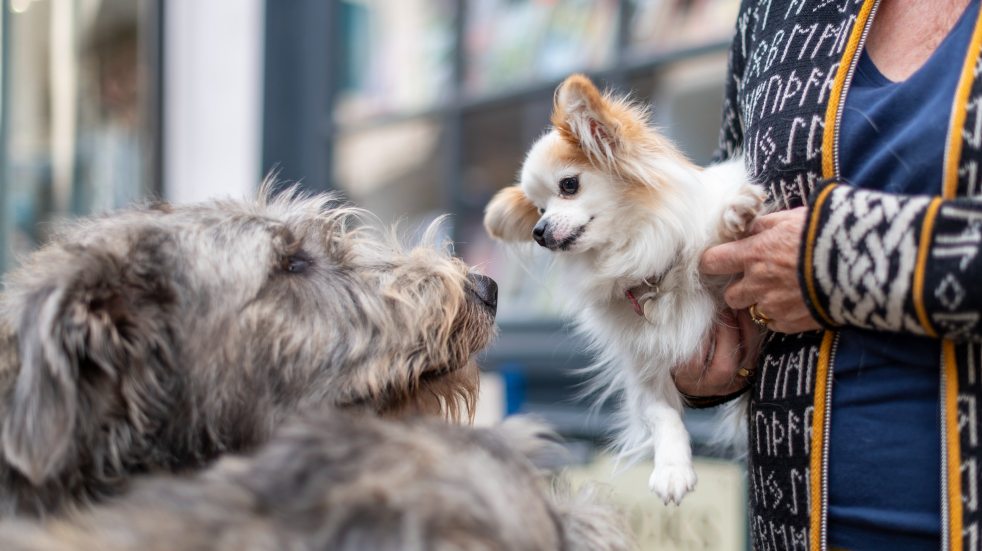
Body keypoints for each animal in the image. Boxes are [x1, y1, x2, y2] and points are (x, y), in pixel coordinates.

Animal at [488, 74, 764, 504]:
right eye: (538, 210)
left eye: (569, 185)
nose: (538, 232)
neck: (646, 267)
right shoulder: (645, 371)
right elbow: (662, 415)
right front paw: (671, 469)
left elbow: (714, 244)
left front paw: (733, 217)